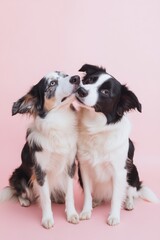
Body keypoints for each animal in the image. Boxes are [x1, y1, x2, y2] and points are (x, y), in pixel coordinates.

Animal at [0, 70, 80, 228]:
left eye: (65, 75)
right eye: (52, 83)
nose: (77, 78)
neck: (59, 121)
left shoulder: (70, 166)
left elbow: (69, 194)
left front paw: (71, 214)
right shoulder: (39, 171)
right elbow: (45, 198)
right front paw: (47, 219)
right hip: (18, 176)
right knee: (19, 192)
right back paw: (24, 201)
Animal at [75, 63, 159, 225]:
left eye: (105, 92)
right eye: (89, 80)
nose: (81, 90)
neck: (96, 127)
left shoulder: (119, 171)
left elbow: (116, 197)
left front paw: (114, 216)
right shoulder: (84, 168)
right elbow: (88, 193)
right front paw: (86, 211)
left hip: (133, 171)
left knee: (131, 192)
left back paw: (129, 203)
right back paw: (97, 201)